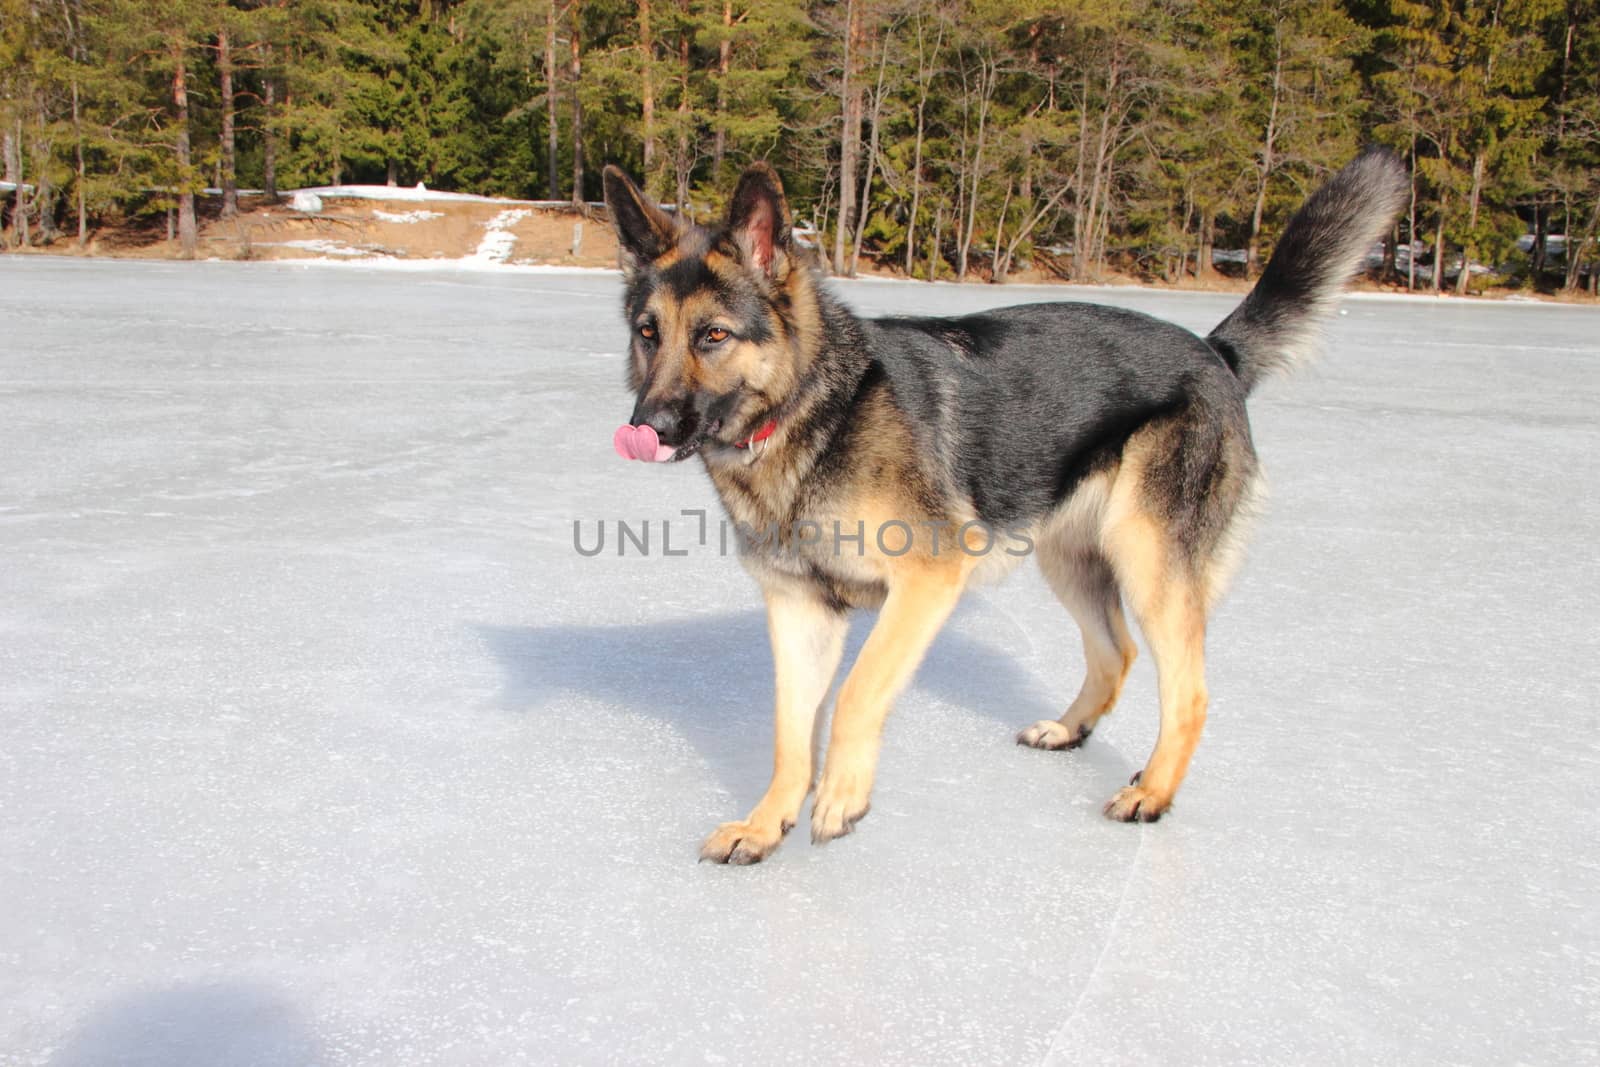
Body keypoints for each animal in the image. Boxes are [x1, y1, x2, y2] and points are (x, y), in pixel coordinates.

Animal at [604, 151, 1408, 870]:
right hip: (1071, 559)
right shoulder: (800, 610)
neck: (812, 413)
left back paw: (1151, 792)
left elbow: (859, 691)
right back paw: (1071, 731)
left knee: (1190, 690)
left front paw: (842, 795)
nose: (647, 426)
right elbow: (789, 729)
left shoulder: (926, 581)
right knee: (1116, 653)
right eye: (648, 333)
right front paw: (767, 823)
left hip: (1146, 560)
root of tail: (1216, 352)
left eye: (713, 335)